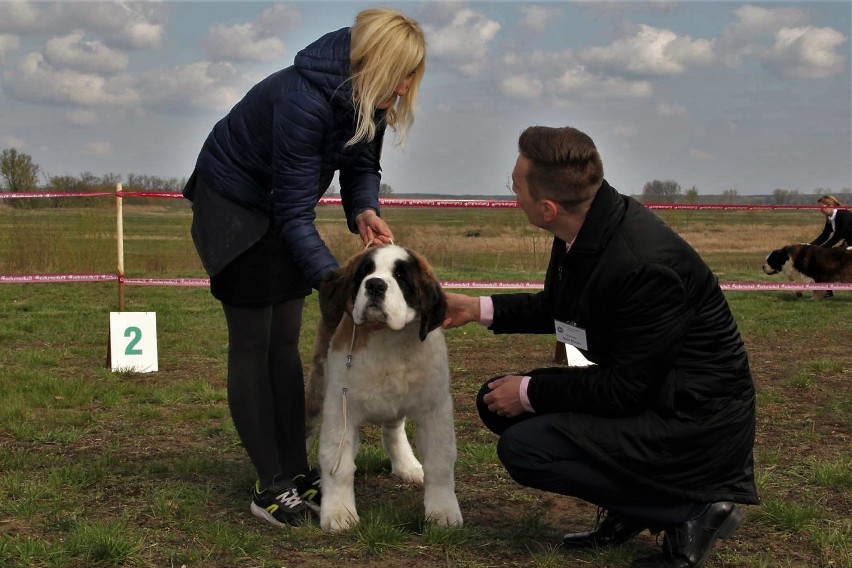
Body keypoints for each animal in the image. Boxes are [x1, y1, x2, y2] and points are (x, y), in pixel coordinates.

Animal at [306, 244, 462, 532]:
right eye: (364, 273)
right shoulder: (340, 408)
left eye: (401, 276)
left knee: (393, 430)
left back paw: (408, 466)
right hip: (319, 382)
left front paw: (443, 511)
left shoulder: (435, 408)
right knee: (307, 422)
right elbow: (338, 463)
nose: (376, 285)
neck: (390, 340)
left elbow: (440, 461)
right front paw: (339, 513)